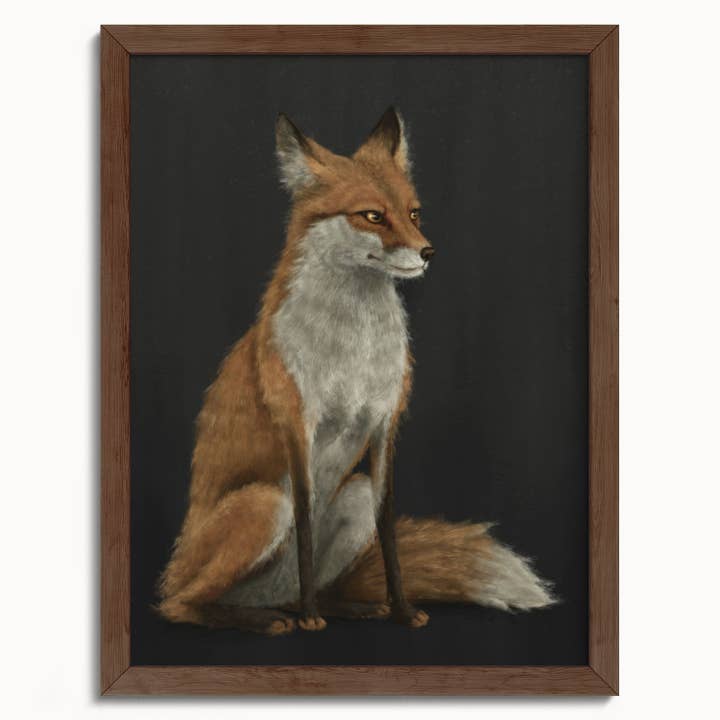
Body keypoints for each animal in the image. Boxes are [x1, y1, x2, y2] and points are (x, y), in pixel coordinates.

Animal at [157, 107, 554, 635]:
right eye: (372, 215)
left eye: (413, 213)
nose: (428, 252)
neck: (354, 348)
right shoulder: (298, 426)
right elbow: (305, 525)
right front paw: (311, 620)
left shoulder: (385, 424)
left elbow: (389, 534)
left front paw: (401, 610)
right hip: (264, 503)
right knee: (180, 604)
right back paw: (271, 618)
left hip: (354, 495)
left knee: (305, 587)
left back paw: (343, 607)